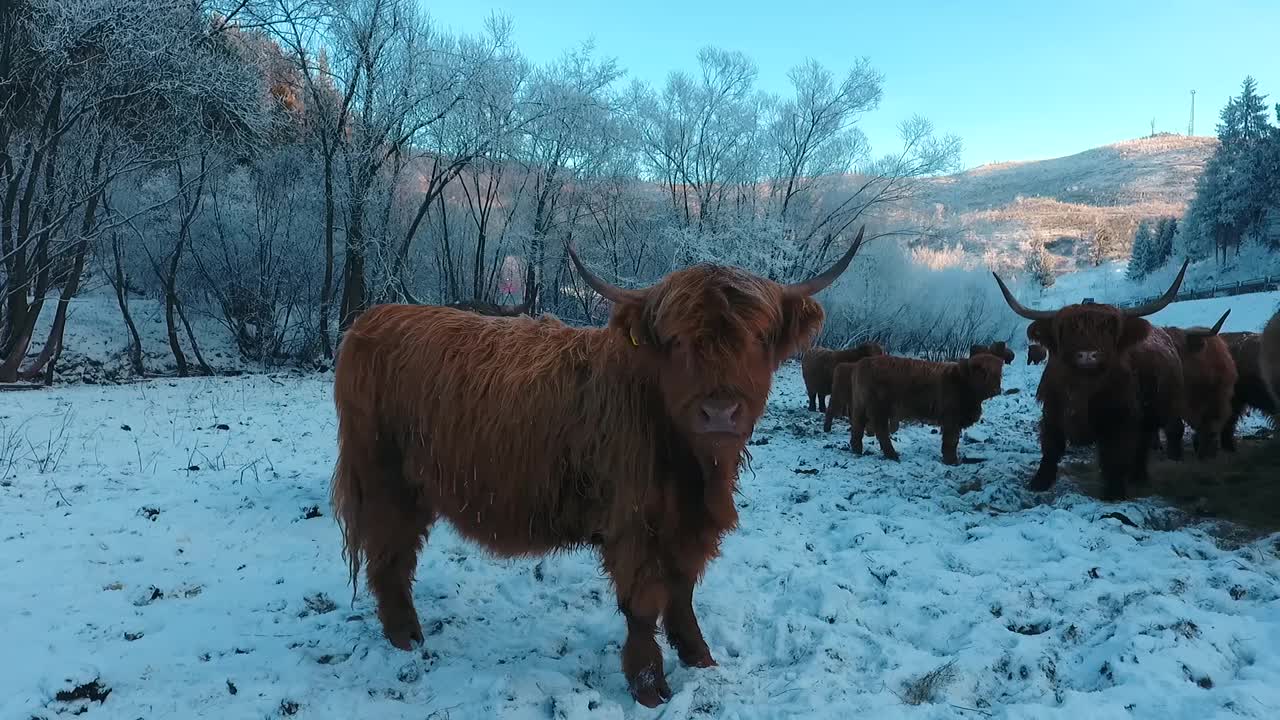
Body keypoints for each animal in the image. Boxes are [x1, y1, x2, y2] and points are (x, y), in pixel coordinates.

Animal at [330, 228, 870, 707]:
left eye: (758, 337)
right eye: (677, 341)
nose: (719, 413)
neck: (694, 469)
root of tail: (374, 317)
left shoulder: (688, 523)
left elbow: (683, 589)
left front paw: (698, 655)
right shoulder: (633, 522)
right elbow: (644, 603)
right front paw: (649, 684)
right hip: (383, 476)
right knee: (389, 553)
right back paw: (406, 635)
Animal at [844, 351, 1003, 461]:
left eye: (999, 373)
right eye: (983, 372)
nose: (996, 390)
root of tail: (864, 362)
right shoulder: (951, 418)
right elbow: (951, 440)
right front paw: (952, 460)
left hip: (861, 406)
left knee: (858, 426)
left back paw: (857, 450)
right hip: (879, 408)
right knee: (881, 431)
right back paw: (892, 455)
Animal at [988, 257, 1187, 499]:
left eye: (1108, 330)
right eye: (1066, 330)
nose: (1088, 354)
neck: (1082, 387)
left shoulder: (1120, 419)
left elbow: (1114, 457)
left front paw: (1114, 493)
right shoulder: (1052, 411)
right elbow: (1051, 447)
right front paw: (1038, 483)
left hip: (1151, 416)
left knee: (1141, 446)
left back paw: (1138, 477)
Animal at [1167, 310, 1233, 456]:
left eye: (1175, 346)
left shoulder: (1219, 401)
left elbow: (1210, 429)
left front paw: (1208, 453)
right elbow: (1175, 429)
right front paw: (1175, 456)